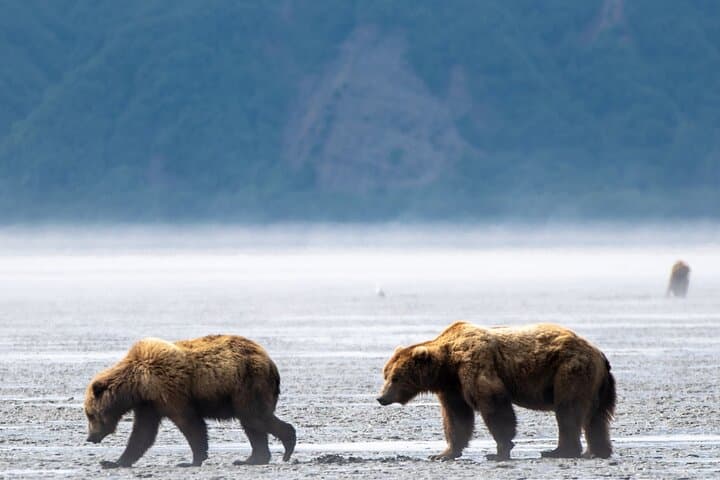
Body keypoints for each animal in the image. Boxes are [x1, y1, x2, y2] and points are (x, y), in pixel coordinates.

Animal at [84, 334, 296, 468]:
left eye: (90, 414)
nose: (90, 437)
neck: (138, 386)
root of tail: (270, 361)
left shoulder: (170, 391)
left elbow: (190, 423)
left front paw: (191, 460)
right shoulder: (149, 404)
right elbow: (142, 434)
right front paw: (112, 462)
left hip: (247, 383)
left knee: (254, 417)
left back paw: (287, 446)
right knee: (252, 424)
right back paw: (251, 458)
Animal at [377, 322, 615, 461]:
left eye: (395, 377)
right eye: (385, 374)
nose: (381, 397)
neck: (447, 365)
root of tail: (599, 353)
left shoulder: (474, 364)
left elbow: (493, 403)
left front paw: (499, 450)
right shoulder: (453, 387)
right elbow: (456, 418)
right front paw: (444, 453)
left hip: (569, 371)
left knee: (568, 410)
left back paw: (558, 451)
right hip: (597, 385)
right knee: (596, 418)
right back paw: (596, 450)